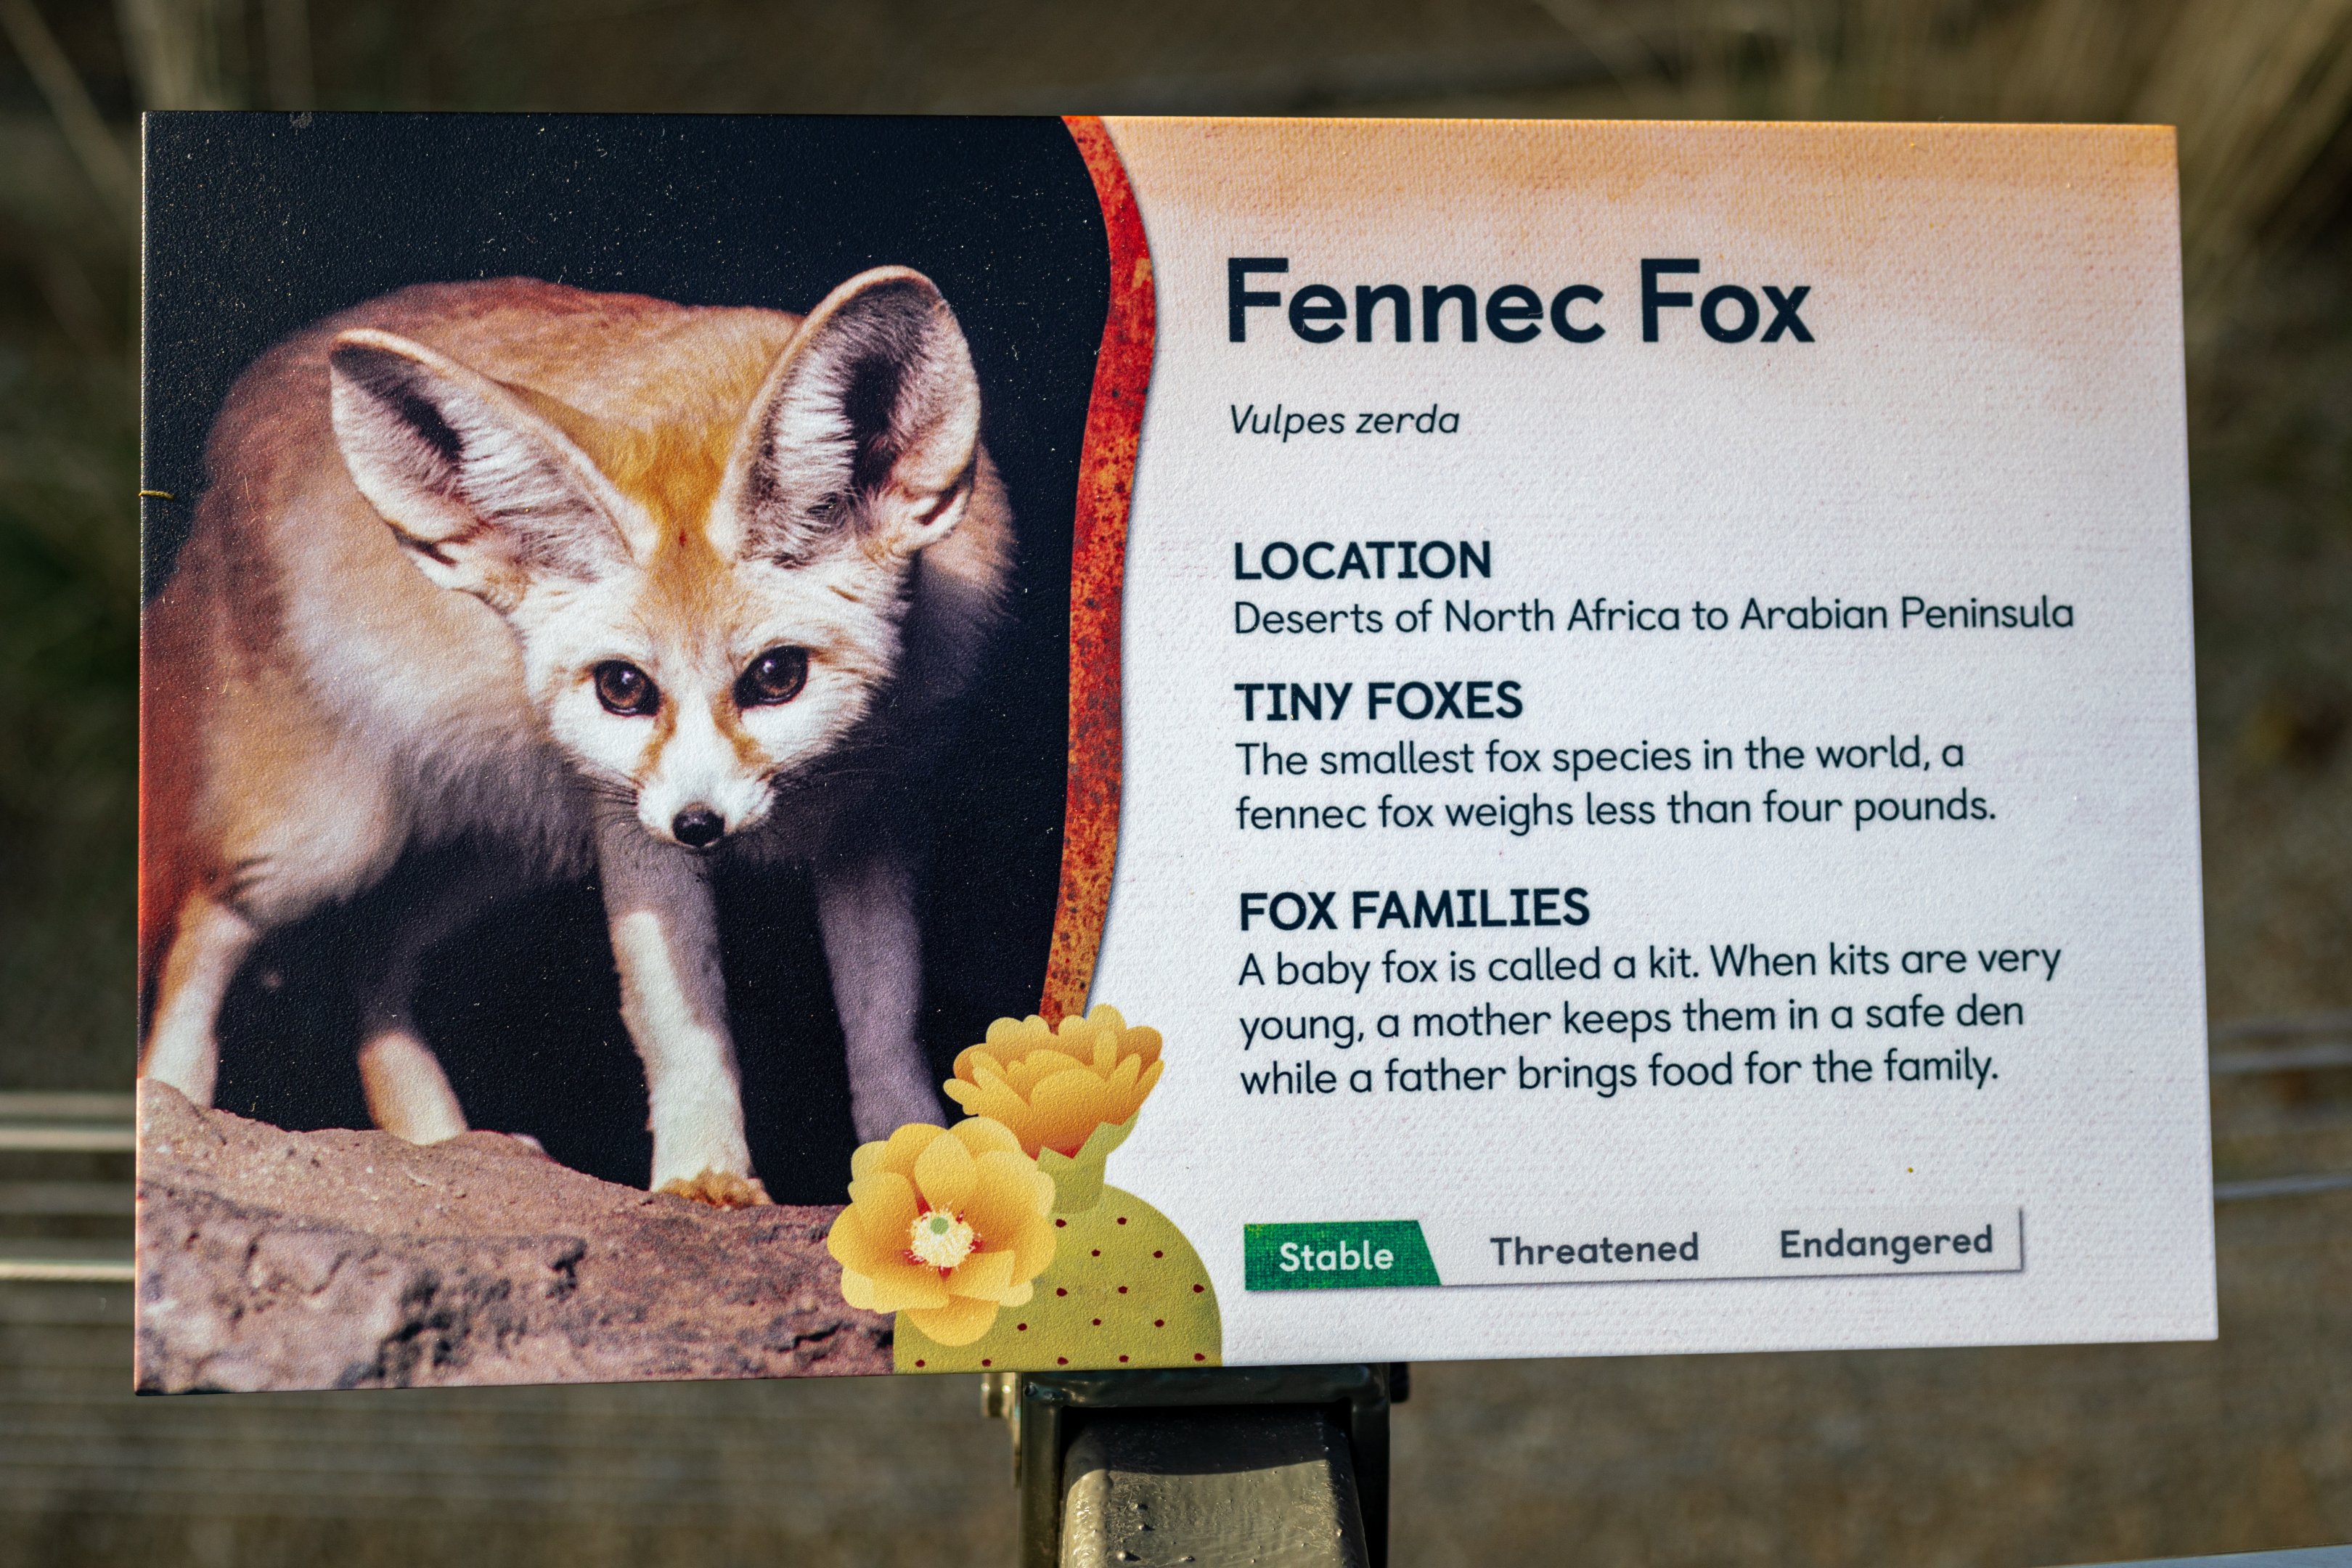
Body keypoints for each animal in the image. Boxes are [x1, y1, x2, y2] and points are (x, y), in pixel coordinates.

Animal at [138, 268, 1013, 1206]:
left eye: (777, 677)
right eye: (623, 688)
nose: (700, 826)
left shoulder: (878, 821)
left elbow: (887, 1021)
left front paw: (912, 1159)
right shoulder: (634, 831)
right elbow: (679, 1023)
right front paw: (703, 1178)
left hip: (506, 855)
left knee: (368, 957)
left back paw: (443, 1146)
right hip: (331, 843)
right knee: (209, 920)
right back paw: (174, 1101)